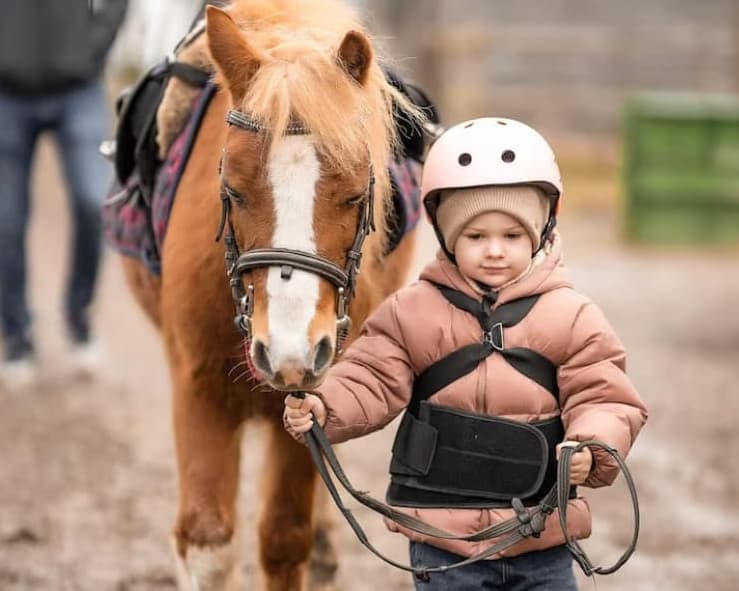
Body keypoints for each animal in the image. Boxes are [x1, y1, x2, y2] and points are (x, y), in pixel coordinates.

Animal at [118, 1, 420, 589]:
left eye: (356, 195)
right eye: (233, 191)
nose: (289, 349)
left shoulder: (310, 385)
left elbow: (283, 540)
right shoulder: (198, 385)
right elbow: (207, 542)